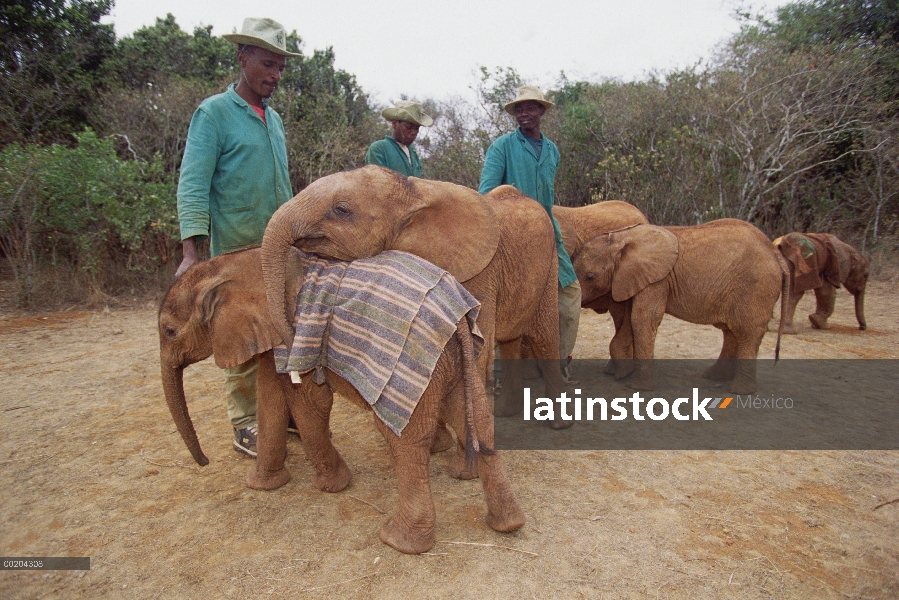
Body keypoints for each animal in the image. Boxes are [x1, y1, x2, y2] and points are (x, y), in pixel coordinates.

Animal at [158, 247, 524, 552]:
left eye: (169, 332)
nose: (204, 462)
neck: (232, 264)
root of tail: (456, 318)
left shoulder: (293, 337)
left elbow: (308, 402)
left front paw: (331, 486)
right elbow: (270, 400)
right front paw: (262, 485)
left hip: (410, 365)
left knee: (405, 438)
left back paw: (398, 542)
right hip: (456, 359)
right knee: (475, 417)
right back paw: (507, 523)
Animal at [568, 219, 788, 394]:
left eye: (590, 277)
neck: (622, 237)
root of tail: (775, 253)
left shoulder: (658, 280)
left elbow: (642, 318)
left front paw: (636, 386)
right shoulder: (634, 278)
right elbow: (630, 317)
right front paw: (620, 373)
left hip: (756, 289)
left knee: (747, 333)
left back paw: (739, 391)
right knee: (730, 331)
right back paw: (714, 377)